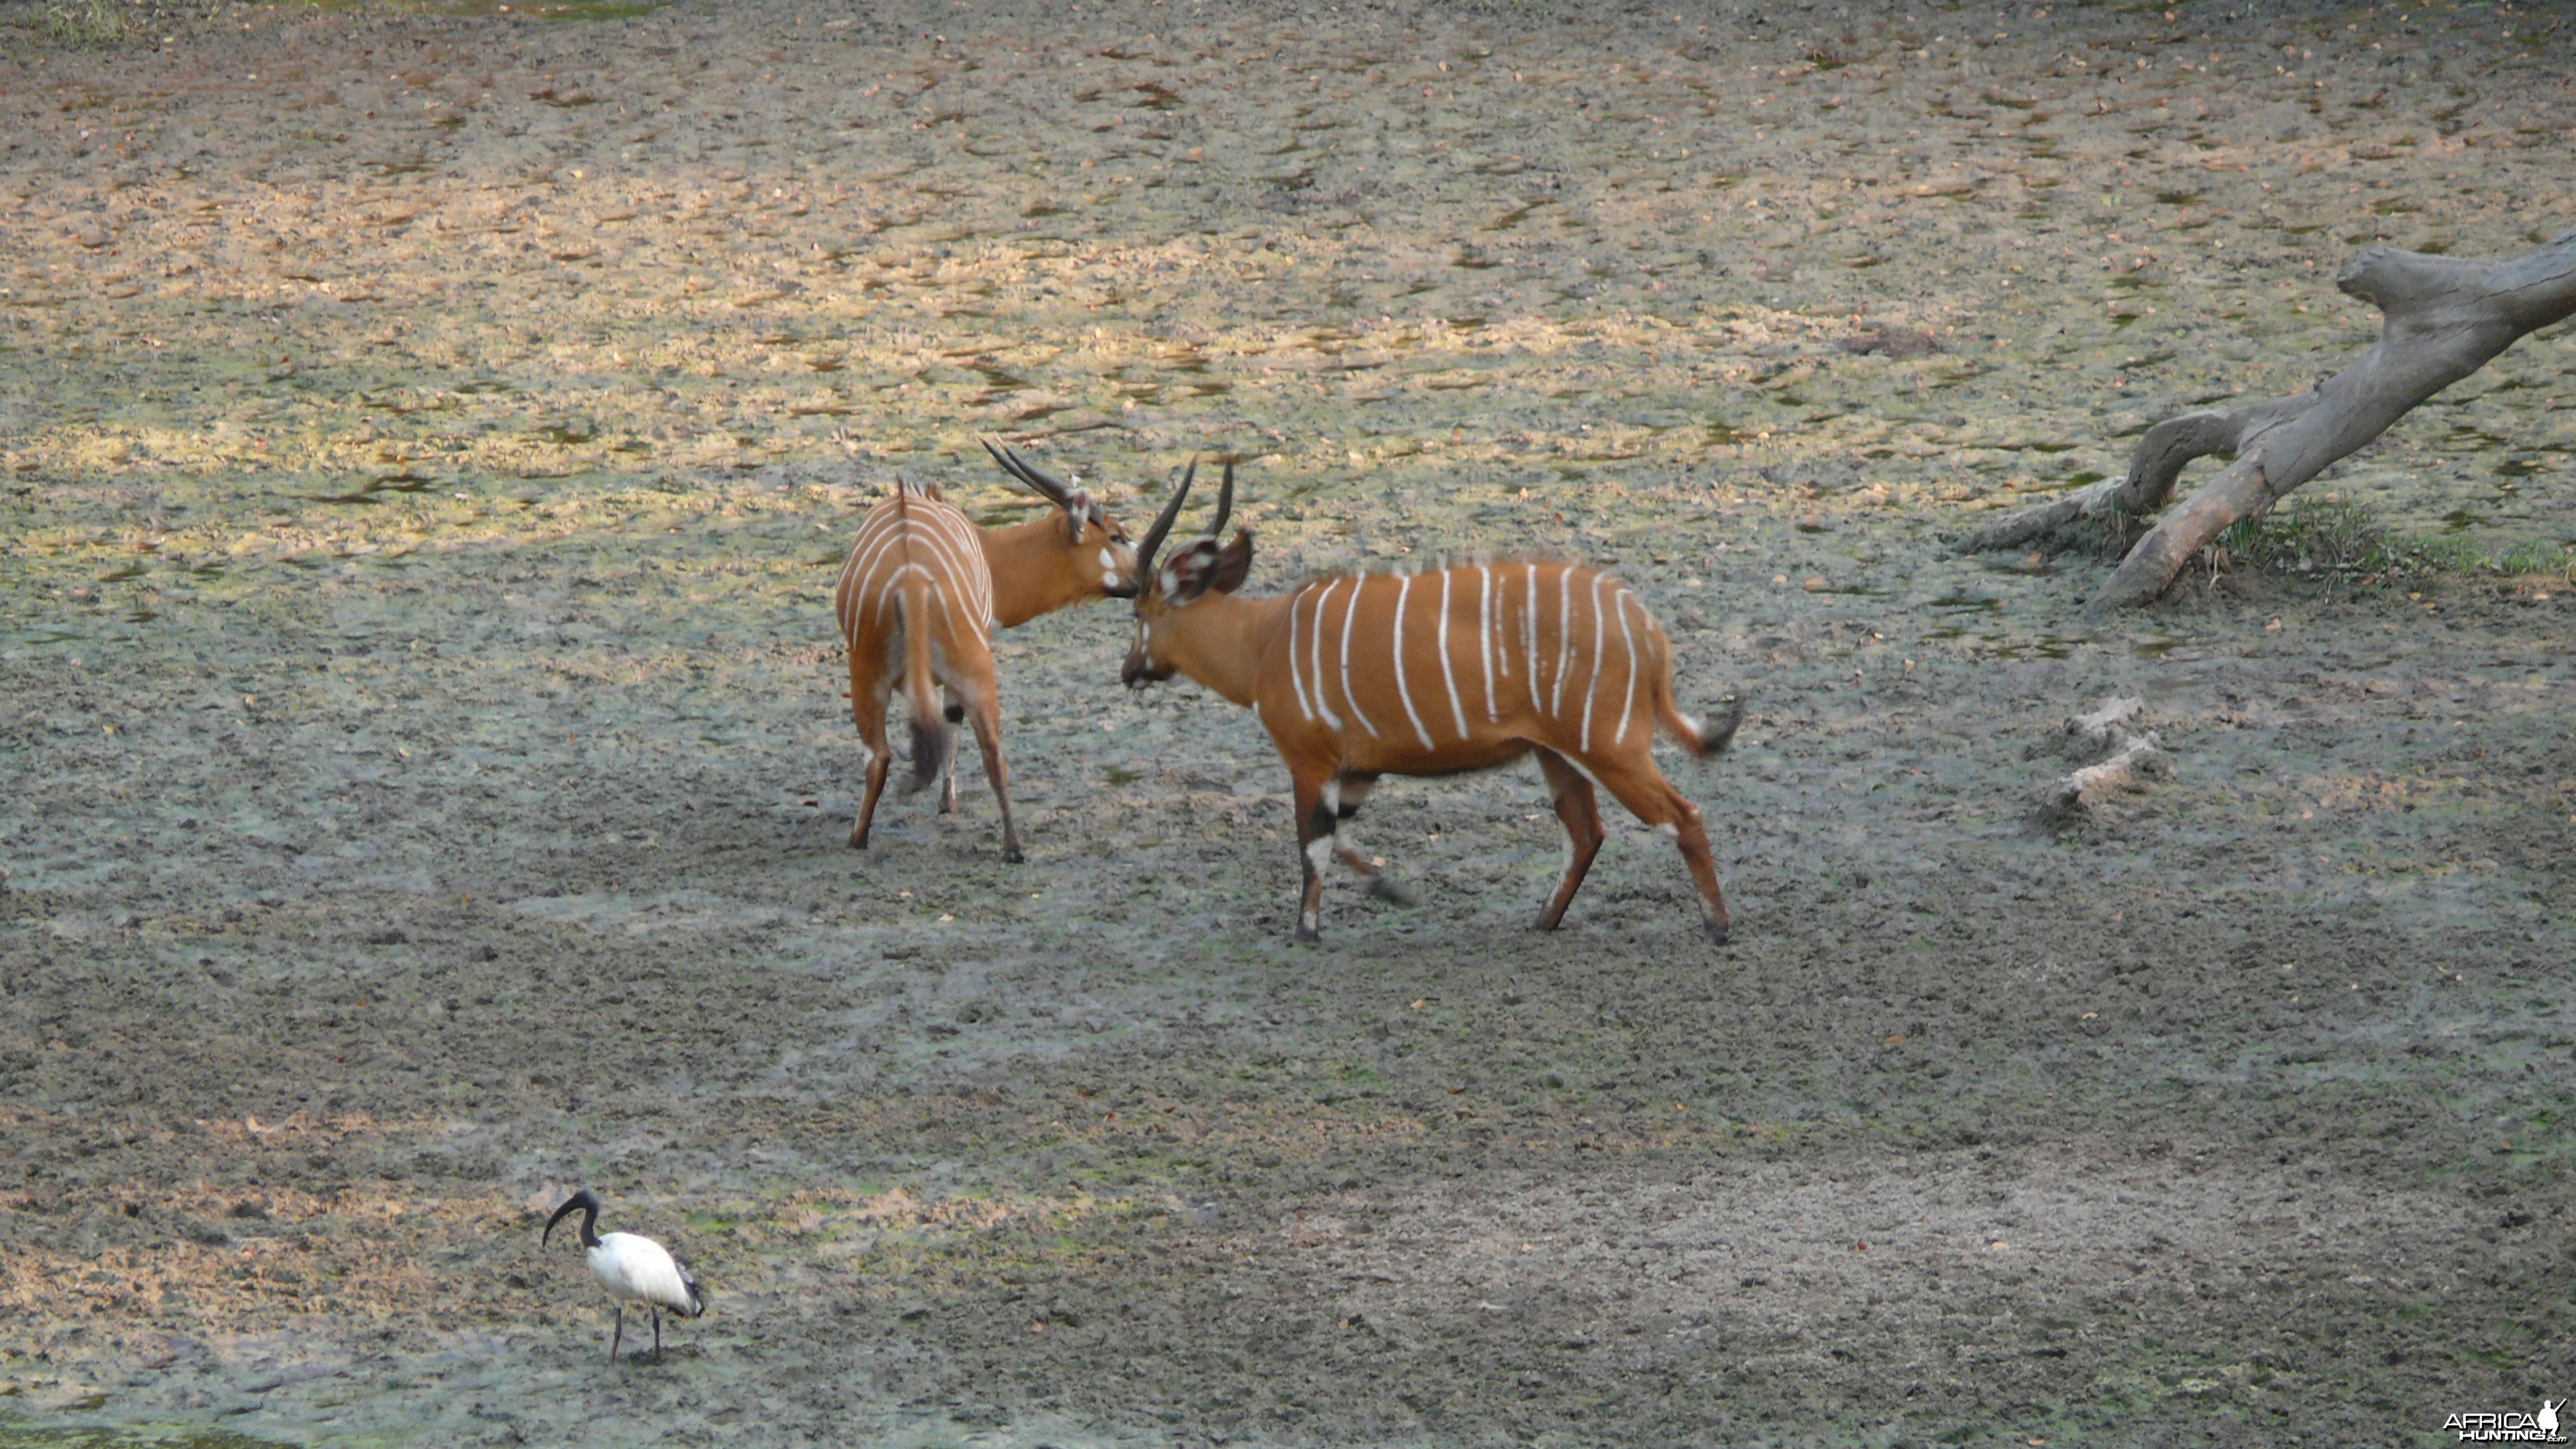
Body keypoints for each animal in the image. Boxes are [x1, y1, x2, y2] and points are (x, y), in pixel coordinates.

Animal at [834, 441, 1138, 855]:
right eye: (1116, 536)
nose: (1149, 574)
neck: (987, 549)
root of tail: (911, 578)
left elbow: (949, 722)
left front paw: (947, 805)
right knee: (983, 750)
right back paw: (1012, 848)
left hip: (879, 675)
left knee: (891, 755)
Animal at [1118, 456, 1741, 943]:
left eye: (1140, 614)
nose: (1128, 672)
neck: (1264, 638)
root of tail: (1645, 628)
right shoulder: (1359, 769)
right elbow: (1342, 838)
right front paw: (1393, 890)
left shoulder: (1310, 762)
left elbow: (1312, 847)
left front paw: (1306, 931)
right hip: (1558, 753)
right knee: (1586, 832)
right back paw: (1542, 921)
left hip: (1609, 748)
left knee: (1681, 817)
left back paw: (1717, 927)